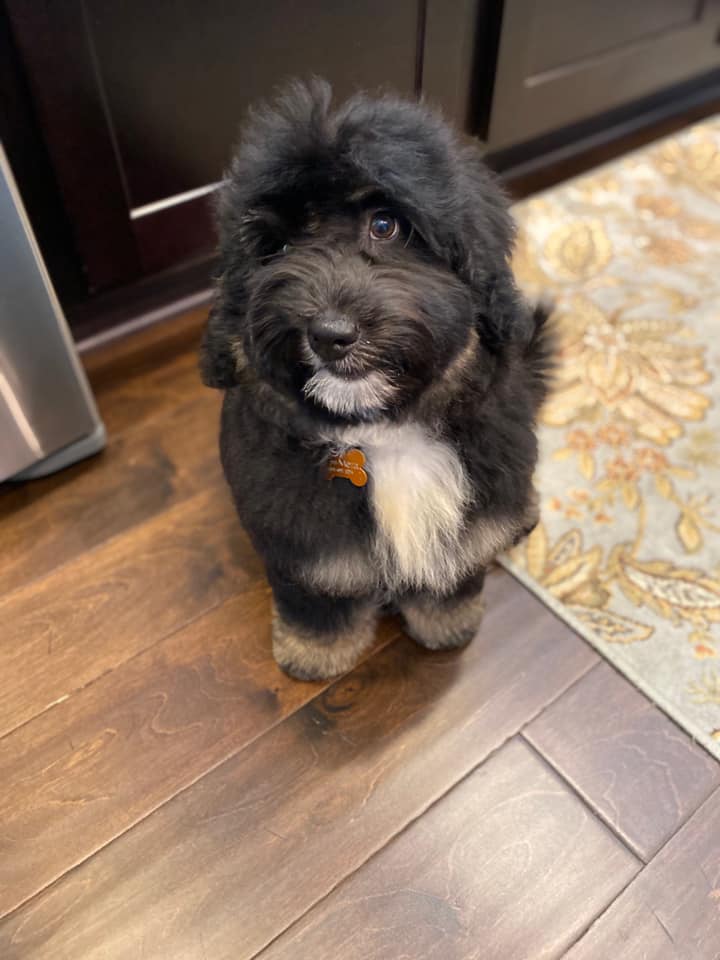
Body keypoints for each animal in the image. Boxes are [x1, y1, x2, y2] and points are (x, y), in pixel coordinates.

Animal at [200, 80, 553, 680]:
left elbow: (456, 575)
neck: (387, 433)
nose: (329, 334)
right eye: (277, 248)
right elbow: (318, 599)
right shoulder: (305, 542)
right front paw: (314, 655)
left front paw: (448, 626)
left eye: (385, 225)